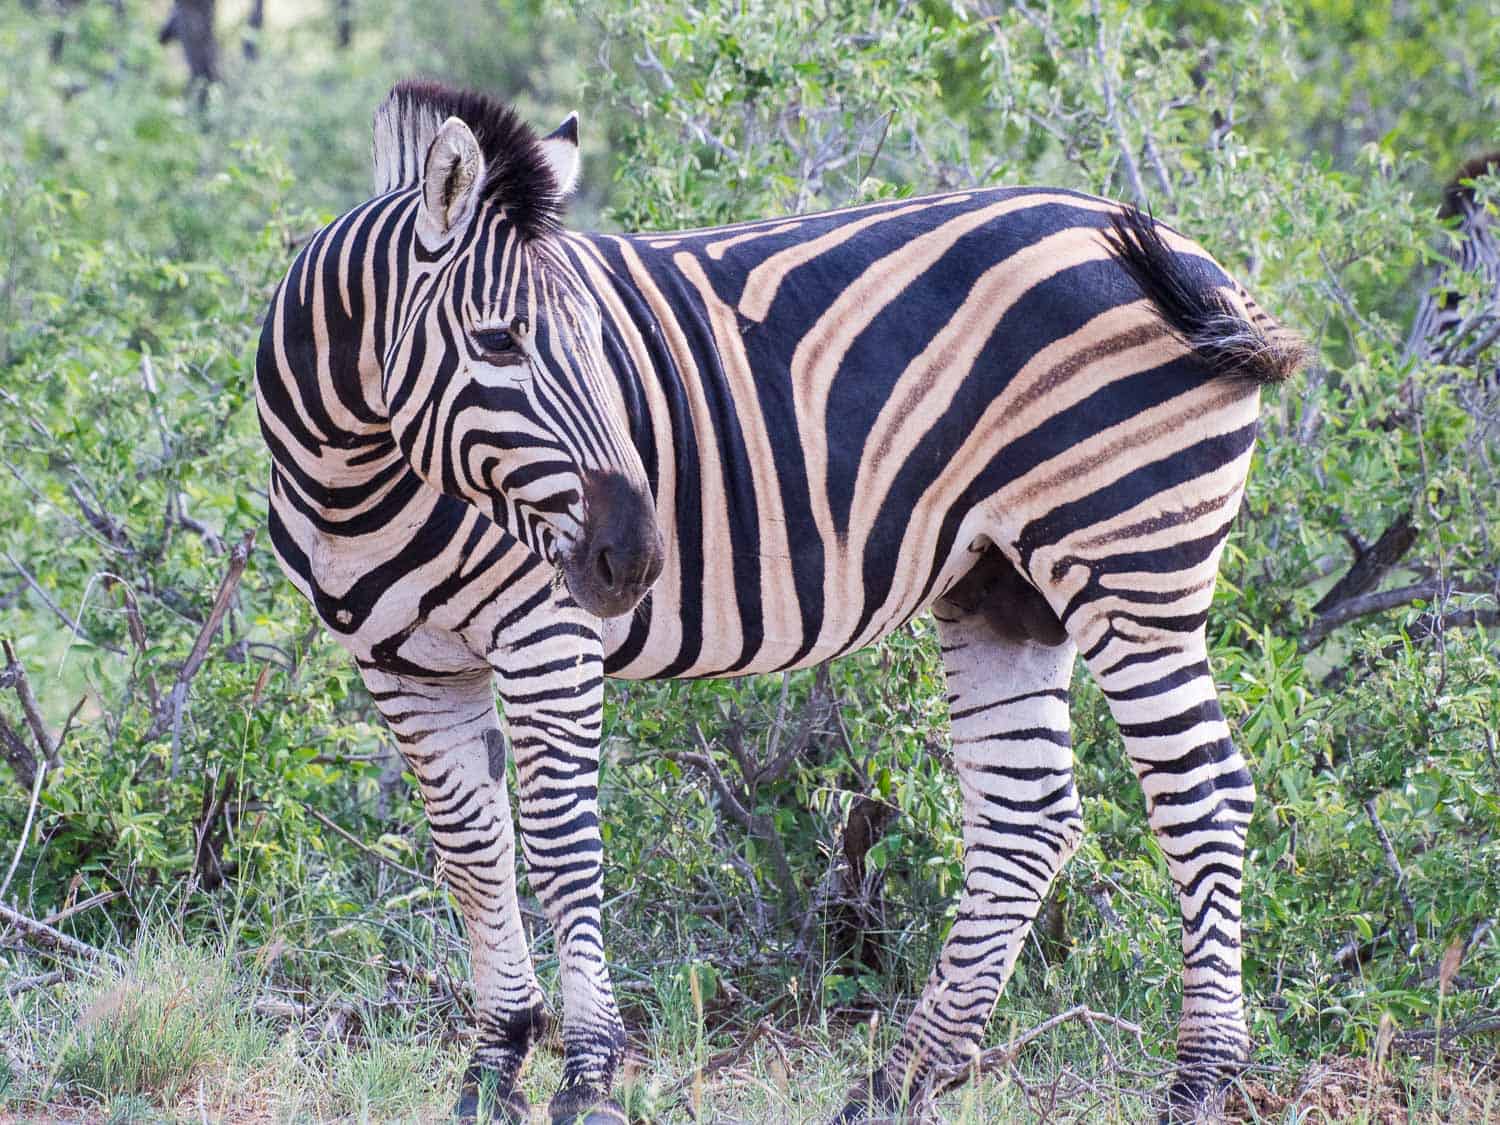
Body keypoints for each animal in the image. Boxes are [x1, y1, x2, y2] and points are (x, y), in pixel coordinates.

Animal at [255, 81, 1302, 1125]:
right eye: (498, 341)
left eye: (602, 346)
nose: (637, 558)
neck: (355, 471)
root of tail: (1192, 255)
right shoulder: (403, 665)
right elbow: (474, 855)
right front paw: (493, 1067)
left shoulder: (545, 635)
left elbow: (558, 847)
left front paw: (587, 1075)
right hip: (1003, 589)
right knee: (1027, 818)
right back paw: (902, 1078)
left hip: (1132, 562)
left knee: (1202, 794)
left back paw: (1197, 1079)